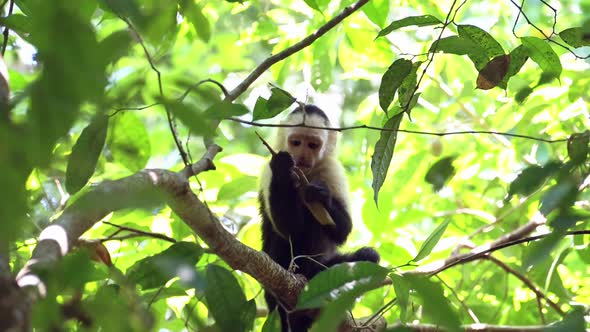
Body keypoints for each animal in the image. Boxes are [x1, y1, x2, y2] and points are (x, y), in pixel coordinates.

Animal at [260, 104, 382, 332]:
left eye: (313, 145)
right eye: (296, 142)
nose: (301, 156)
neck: (305, 175)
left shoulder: (331, 170)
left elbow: (343, 231)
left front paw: (320, 195)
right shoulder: (267, 171)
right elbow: (288, 229)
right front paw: (282, 169)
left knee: (368, 257)